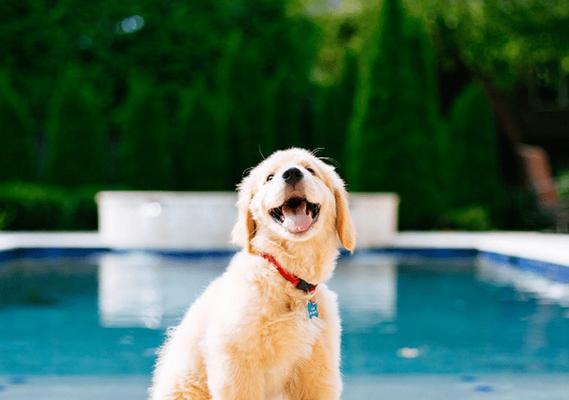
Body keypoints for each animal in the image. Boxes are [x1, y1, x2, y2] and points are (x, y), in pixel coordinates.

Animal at [151, 148, 356, 400]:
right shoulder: (237, 364)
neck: (286, 277)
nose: (292, 173)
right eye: (270, 177)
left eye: (310, 169)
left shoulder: (317, 369)